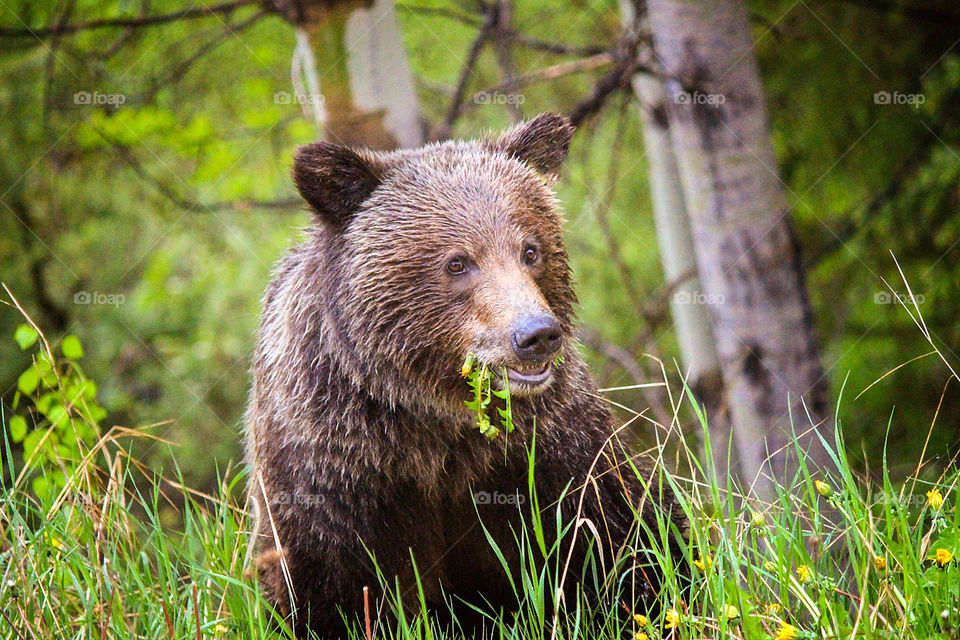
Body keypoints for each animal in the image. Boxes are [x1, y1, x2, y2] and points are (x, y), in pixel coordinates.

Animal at [245, 113, 686, 639]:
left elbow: (627, 541)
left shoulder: (549, 451)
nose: (536, 334)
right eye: (457, 262)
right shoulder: (333, 467)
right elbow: (330, 590)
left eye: (531, 250)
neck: (435, 423)